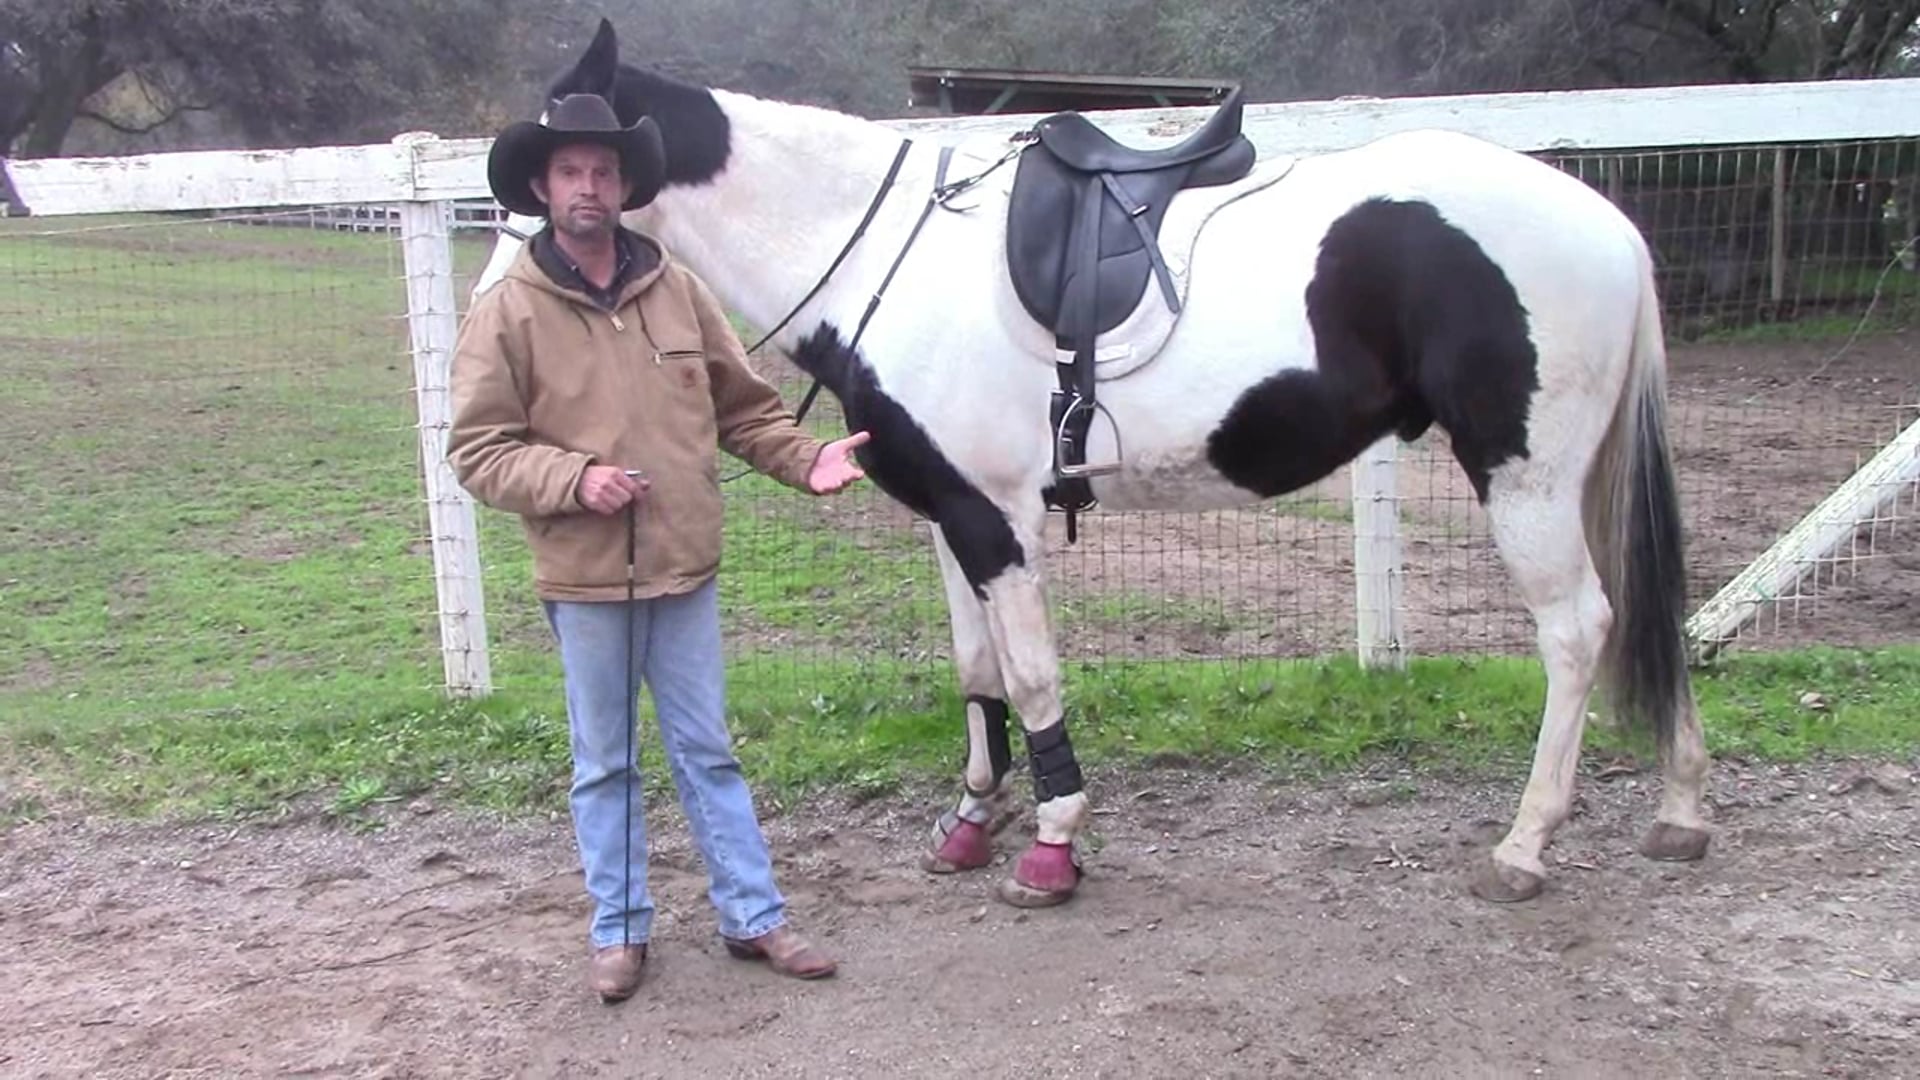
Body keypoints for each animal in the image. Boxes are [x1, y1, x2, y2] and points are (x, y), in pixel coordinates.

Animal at [473, 19, 1712, 908]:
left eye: (551, 179)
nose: (506, 315)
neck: (886, 254)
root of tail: (1606, 220)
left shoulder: (997, 521)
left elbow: (1029, 677)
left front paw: (1054, 846)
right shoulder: (948, 515)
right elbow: (974, 668)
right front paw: (971, 823)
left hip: (1525, 478)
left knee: (1579, 632)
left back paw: (1525, 845)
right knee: (1643, 616)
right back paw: (1682, 812)